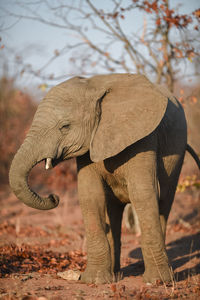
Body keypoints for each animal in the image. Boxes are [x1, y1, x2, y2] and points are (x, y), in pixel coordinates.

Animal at [9, 74, 200, 284]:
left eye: (65, 126)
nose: (54, 197)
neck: (94, 88)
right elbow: (90, 196)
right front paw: (94, 281)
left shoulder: (144, 137)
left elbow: (142, 193)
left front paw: (157, 282)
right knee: (113, 210)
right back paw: (116, 274)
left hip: (177, 156)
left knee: (164, 202)